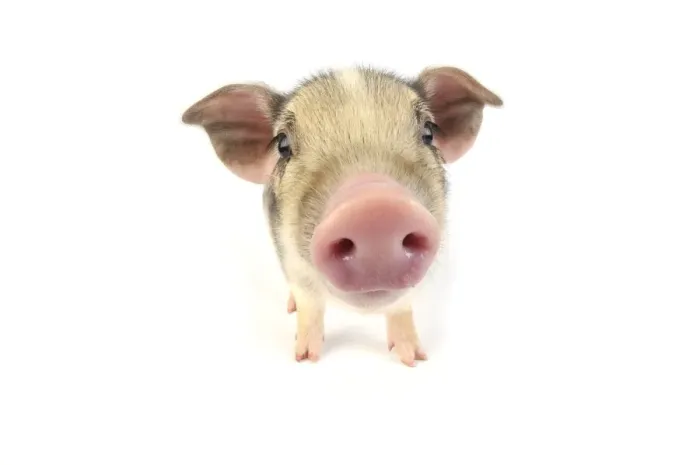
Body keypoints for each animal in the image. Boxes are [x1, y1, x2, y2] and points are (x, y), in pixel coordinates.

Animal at [181, 65, 502, 366]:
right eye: (283, 145)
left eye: (428, 133)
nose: (376, 207)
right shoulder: (291, 262)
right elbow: (310, 307)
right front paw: (304, 358)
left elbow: (402, 310)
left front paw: (414, 359)